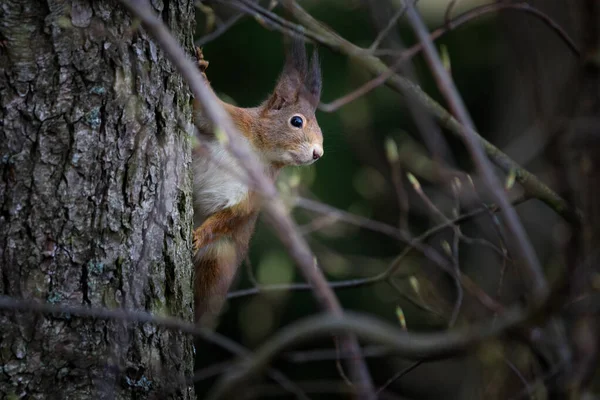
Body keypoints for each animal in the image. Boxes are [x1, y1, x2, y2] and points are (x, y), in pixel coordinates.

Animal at [192, 40, 324, 326]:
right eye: (297, 121)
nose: (318, 153)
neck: (259, 151)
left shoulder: (255, 190)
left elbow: (234, 214)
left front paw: (199, 235)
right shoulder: (228, 119)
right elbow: (202, 109)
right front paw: (200, 68)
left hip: (220, 258)